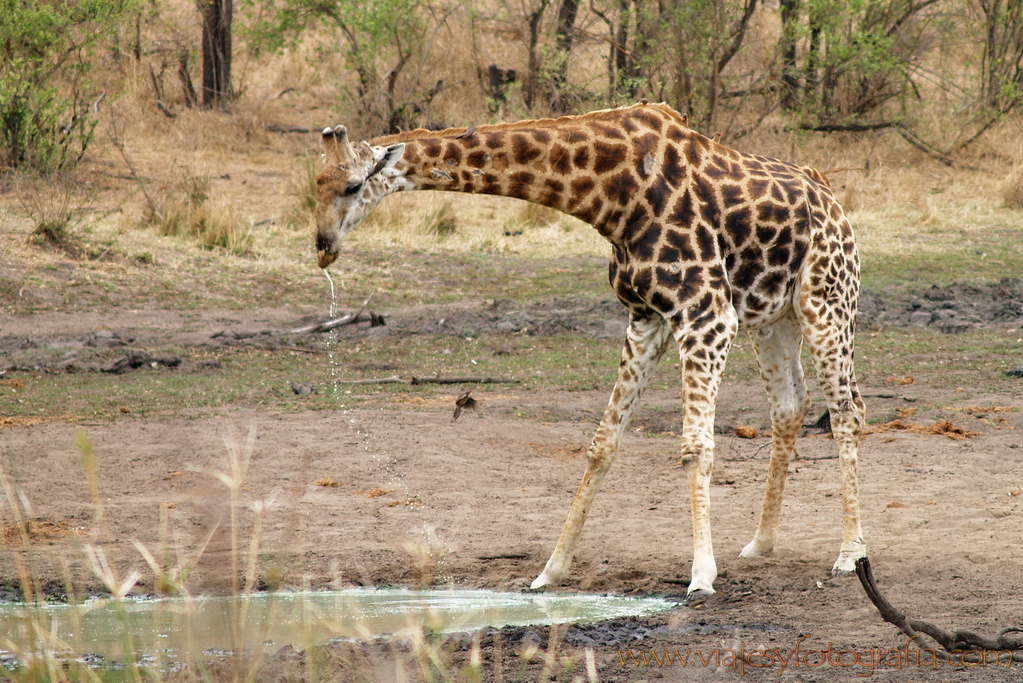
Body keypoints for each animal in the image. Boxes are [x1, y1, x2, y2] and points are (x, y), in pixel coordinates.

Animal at [315, 102, 867, 597]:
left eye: (351, 185)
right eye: (313, 185)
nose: (323, 247)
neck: (614, 197)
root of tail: (833, 200)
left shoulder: (706, 316)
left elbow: (695, 447)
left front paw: (701, 576)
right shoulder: (646, 319)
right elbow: (602, 443)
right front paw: (550, 571)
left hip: (827, 303)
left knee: (847, 410)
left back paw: (850, 553)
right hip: (773, 317)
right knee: (790, 406)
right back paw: (760, 542)